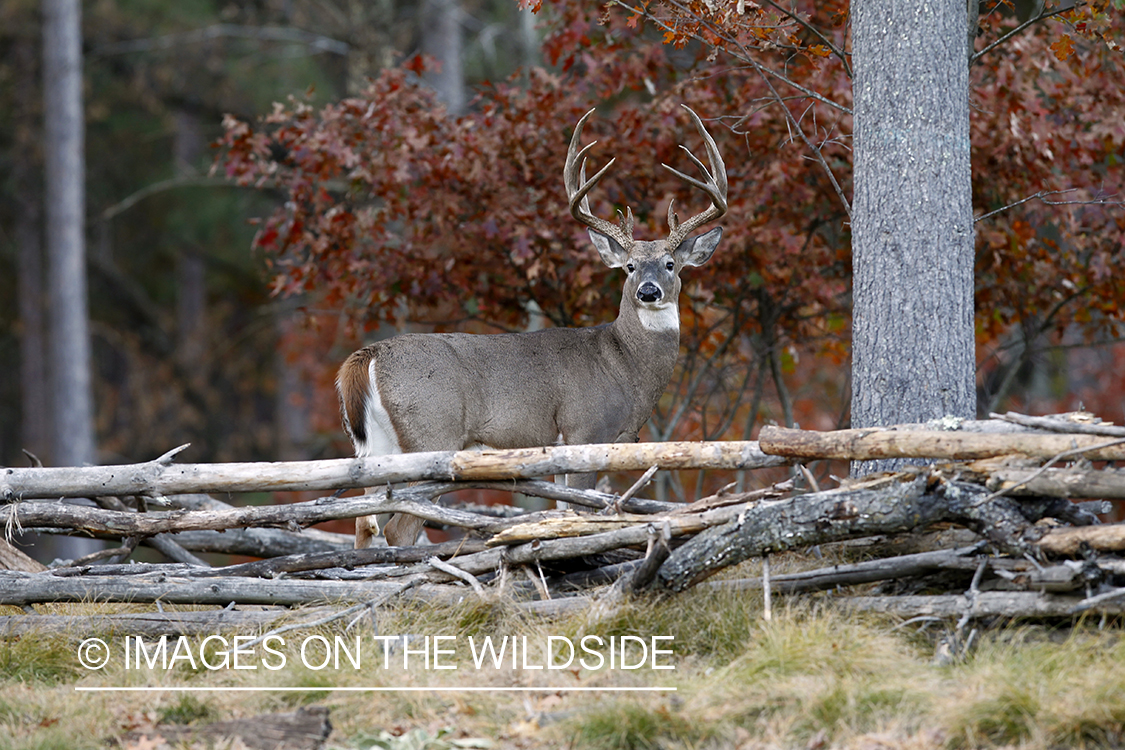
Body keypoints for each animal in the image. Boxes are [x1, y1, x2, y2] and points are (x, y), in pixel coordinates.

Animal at [335, 104, 729, 546]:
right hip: (431, 434)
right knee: (397, 527)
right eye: (629, 266)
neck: (624, 366)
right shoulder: (583, 431)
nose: (648, 291)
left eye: (670, 264)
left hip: (376, 446)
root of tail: (368, 355)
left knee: (365, 522)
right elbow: (579, 512)